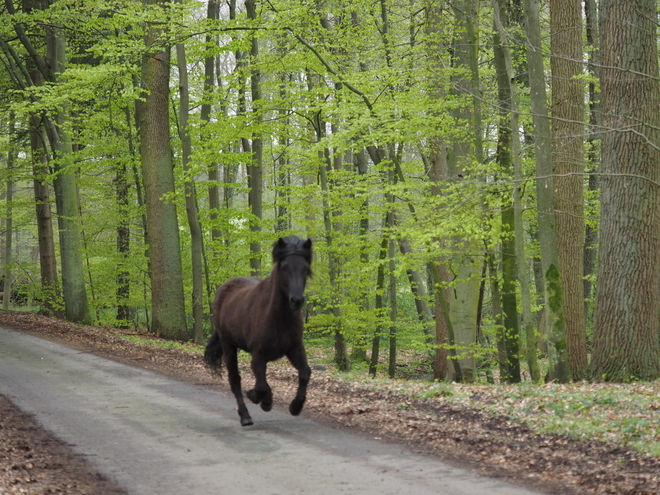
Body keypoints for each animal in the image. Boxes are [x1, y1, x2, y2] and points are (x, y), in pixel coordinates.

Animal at [202, 236, 314, 426]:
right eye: (284, 267)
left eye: (305, 268)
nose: (297, 300)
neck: (278, 317)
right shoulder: (258, 354)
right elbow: (261, 386)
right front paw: (261, 400)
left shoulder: (295, 349)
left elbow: (305, 373)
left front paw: (295, 406)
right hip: (228, 345)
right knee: (235, 380)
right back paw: (245, 416)